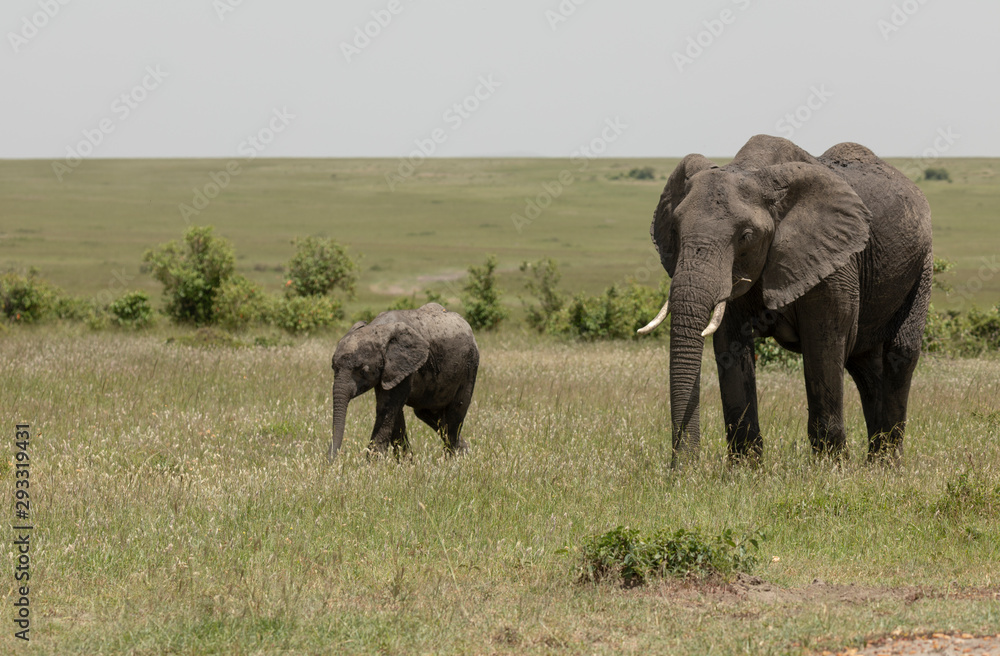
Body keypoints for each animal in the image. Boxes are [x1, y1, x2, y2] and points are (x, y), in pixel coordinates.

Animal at [328, 304, 480, 462]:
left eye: (363, 371)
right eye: (333, 367)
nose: (331, 461)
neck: (378, 328)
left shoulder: (405, 367)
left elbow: (386, 408)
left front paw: (373, 464)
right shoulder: (391, 371)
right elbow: (394, 412)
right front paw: (405, 463)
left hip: (469, 367)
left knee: (455, 414)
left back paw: (452, 460)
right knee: (428, 414)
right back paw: (465, 453)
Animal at [636, 135, 932, 466]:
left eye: (746, 236)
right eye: (675, 230)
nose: (683, 470)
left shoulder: (834, 261)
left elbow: (824, 344)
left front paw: (831, 470)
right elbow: (730, 345)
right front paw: (745, 471)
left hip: (922, 264)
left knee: (900, 354)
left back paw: (885, 466)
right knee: (866, 367)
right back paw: (874, 465)